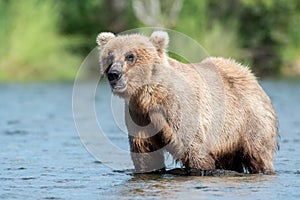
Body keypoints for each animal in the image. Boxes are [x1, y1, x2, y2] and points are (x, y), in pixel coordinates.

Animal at [96, 30, 278, 174]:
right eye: (110, 57)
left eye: (130, 56)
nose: (114, 74)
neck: (149, 96)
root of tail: (249, 74)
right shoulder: (138, 115)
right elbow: (146, 153)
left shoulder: (180, 108)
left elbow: (193, 147)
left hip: (248, 120)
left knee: (257, 152)